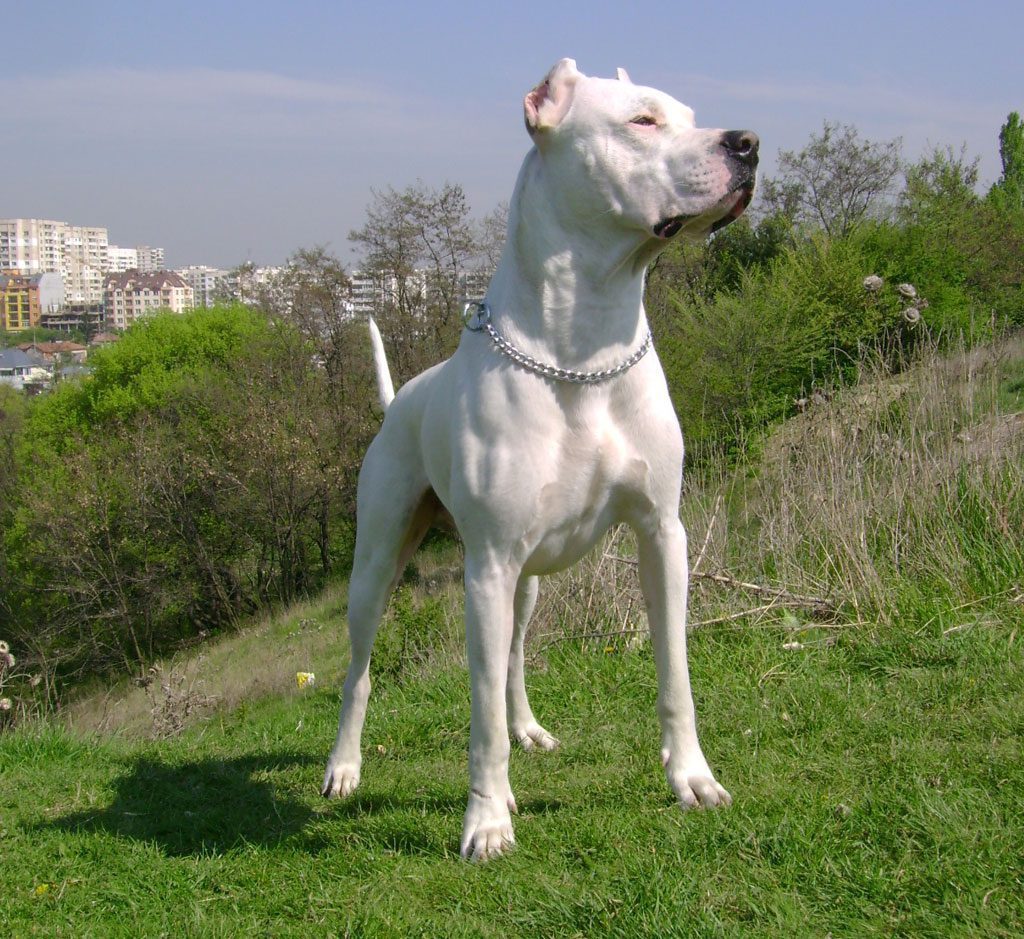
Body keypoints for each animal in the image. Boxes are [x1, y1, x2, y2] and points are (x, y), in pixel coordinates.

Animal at [323, 55, 757, 851]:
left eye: (690, 115)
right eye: (642, 120)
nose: (748, 143)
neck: (582, 348)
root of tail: (401, 401)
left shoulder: (663, 534)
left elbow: (675, 673)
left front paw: (692, 776)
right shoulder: (487, 567)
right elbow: (479, 720)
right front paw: (487, 820)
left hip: (524, 582)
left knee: (514, 659)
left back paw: (528, 727)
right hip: (380, 565)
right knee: (360, 671)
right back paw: (343, 766)